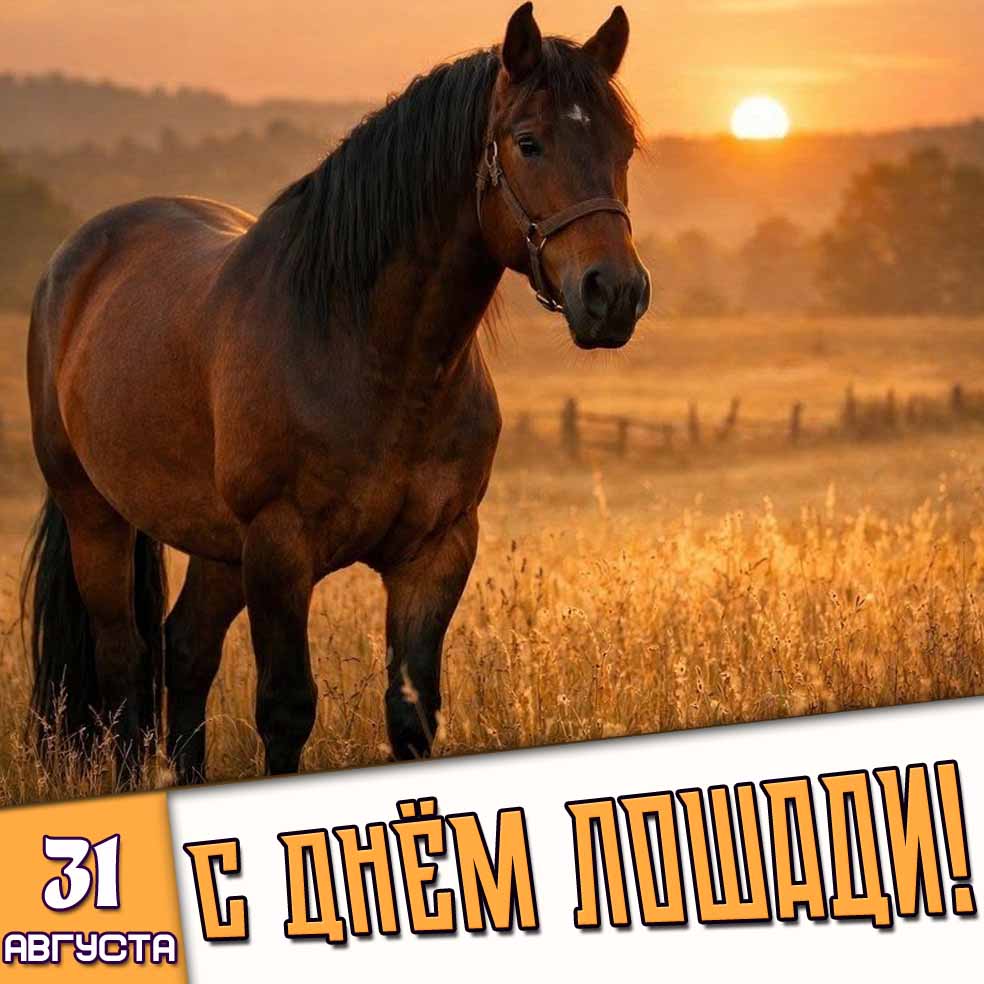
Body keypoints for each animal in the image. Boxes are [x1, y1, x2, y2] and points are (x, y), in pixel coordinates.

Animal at [22, 2, 650, 784]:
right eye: (528, 143)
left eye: (624, 147)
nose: (614, 293)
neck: (372, 355)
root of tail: (73, 263)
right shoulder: (280, 548)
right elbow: (286, 709)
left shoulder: (436, 552)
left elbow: (412, 714)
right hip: (96, 517)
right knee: (124, 664)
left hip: (217, 544)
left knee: (187, 652)